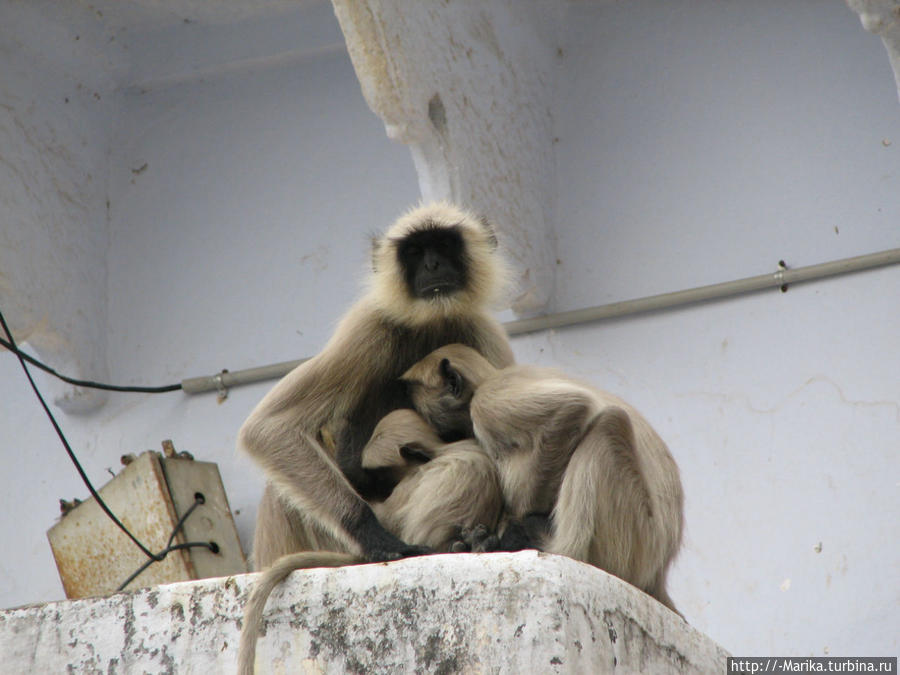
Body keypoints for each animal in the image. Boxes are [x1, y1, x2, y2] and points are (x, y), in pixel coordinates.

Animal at [237, 201, 512, 572]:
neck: (430, 321)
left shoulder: (485, 334)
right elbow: (270, 428)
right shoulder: (367, 326)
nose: (433, 264)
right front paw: (379, 539)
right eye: (414, 251)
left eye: (444, 244)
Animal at [400, 346, 684, 616]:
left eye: (431, 421)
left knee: (610, 423)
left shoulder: (487, 403)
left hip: (636, 533)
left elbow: (572, 409)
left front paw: (513, 529)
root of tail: (657, 572)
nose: (435, 439)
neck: (490, 378)